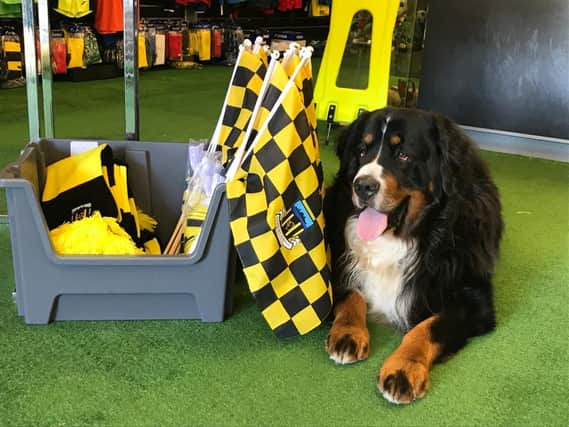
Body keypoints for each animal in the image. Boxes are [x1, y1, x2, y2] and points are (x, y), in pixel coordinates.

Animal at [324, 107, 502, 404]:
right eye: (361, 150)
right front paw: (347, 332)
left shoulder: (473, 299)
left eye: (403, 155)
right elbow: (351, 295)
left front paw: (404, 369)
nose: (363, 186)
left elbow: (429, 326)